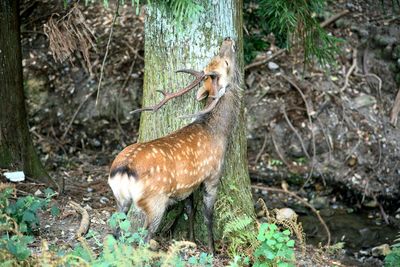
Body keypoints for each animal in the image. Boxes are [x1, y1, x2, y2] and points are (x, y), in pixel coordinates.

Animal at [108, 37, 241, 253]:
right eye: (226, 63)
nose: (228, 40)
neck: (220, 133)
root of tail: (122, 170)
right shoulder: (212, 175)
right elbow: (208, 215)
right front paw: (211, 249)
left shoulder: (188, 185)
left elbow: (190, 209)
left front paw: (191, 240)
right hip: (154, 202)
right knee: (143, 237)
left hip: (120, 199)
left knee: (114, 230)